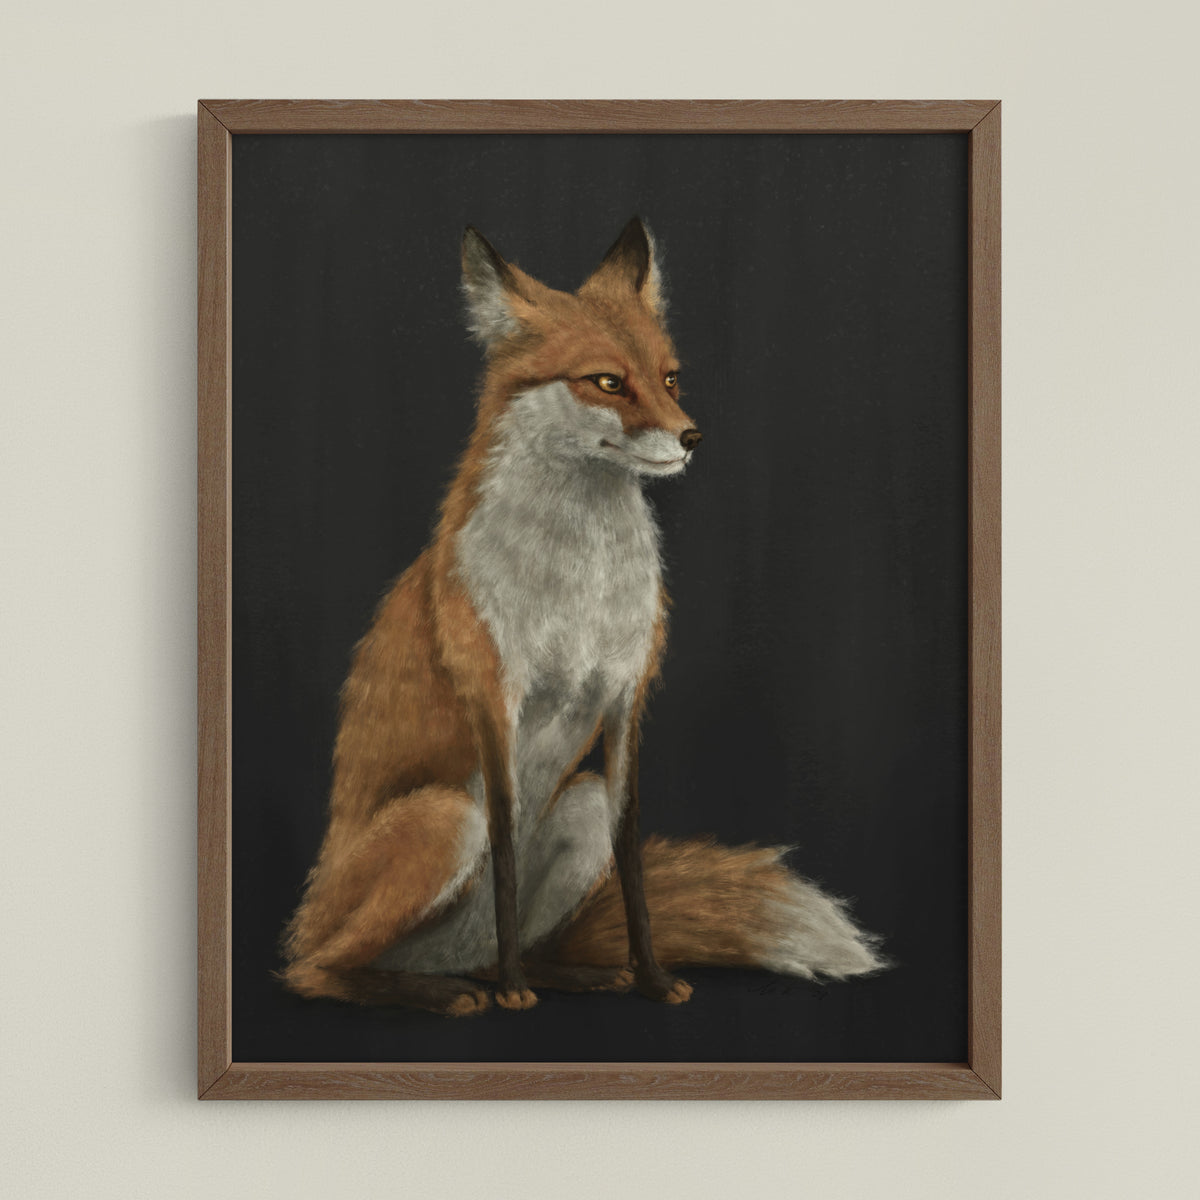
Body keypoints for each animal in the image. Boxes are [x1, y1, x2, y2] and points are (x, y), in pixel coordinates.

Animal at [280, 217, 885, 1016]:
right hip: (444, 819)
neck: (581, 585)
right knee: (316, 970)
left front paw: (651, 979)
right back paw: (450, 991)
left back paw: (564, 974)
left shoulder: (626, 697)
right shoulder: (495, 699)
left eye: (670, 378)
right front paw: (516, 994)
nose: (692, 437)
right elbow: (506, 854)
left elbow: (632, 863)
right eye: (606, 381)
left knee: (495, 946)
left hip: (580, 805)